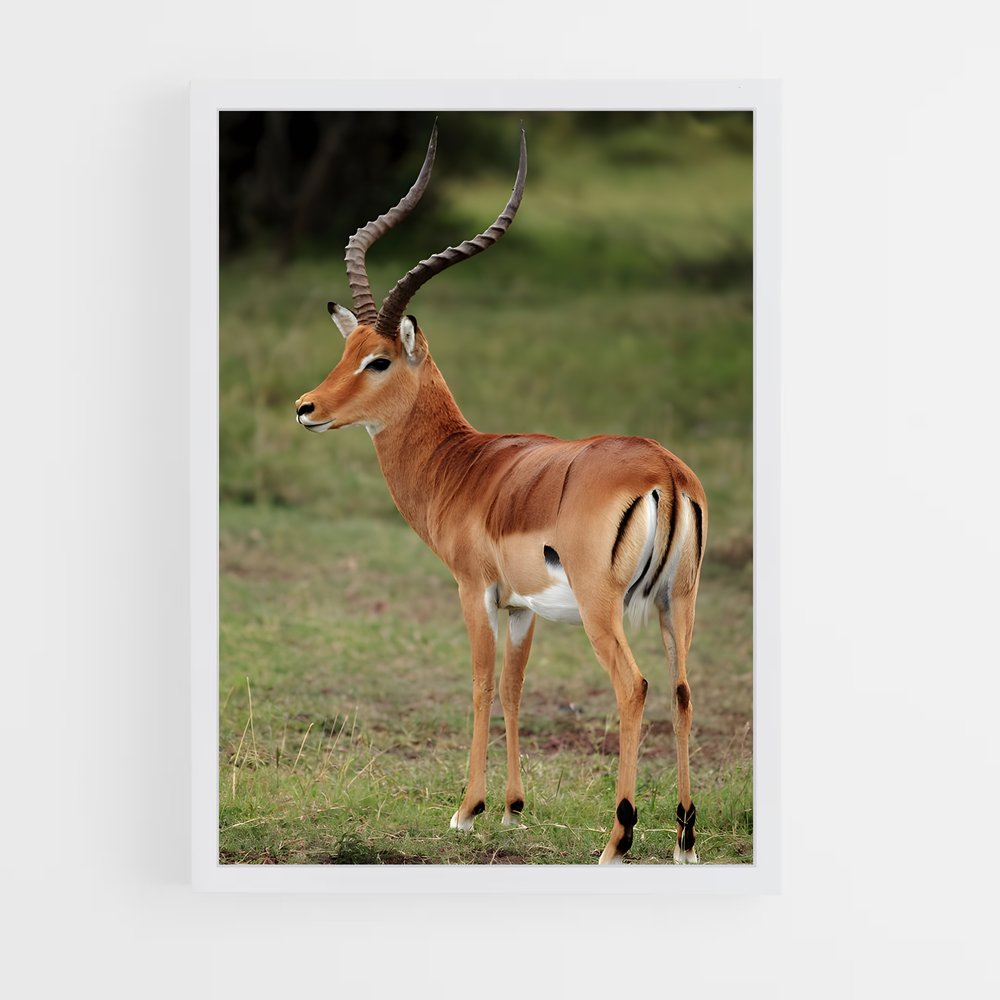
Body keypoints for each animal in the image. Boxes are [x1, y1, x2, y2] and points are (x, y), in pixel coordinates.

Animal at [294, 124, 707, 864]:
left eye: (379, 360)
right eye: (347, 352)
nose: (305, 408)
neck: (463, 465)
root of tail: (664, 471)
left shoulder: (474, 589)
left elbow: (482, 685)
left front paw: (467, 809)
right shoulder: (521, 608)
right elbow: (515, 690)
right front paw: (513, 810)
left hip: (605, 609)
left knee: (634, 687)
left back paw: (616, 840)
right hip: (676, 602)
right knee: (684, 690)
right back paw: (685, 839)